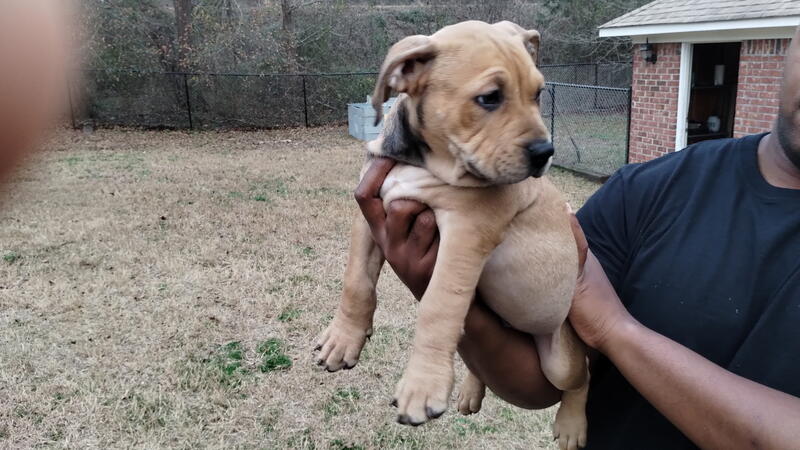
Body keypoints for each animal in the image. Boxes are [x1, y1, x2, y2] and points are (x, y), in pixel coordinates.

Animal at [314, 20, 589, 450]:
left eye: (538, 94)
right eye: (490, 98)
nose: (546, 152)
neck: (420, 161)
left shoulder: (466, 233)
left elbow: (439, 306)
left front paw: (422, 386)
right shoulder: (369, 212)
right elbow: (356, 282)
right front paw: (344, 339)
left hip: (562, 358)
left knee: (583, 377)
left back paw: (573, 424)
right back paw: (471, 391)